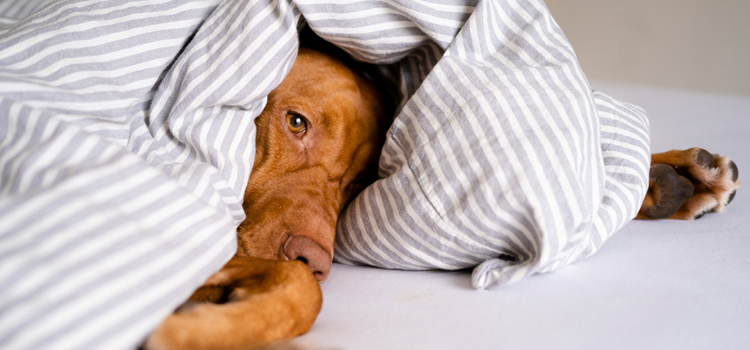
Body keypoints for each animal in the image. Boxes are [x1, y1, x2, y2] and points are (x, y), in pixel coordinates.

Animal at [145, 43, 740, 350]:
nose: (315, 258)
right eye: (295, 122)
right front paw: (191, 327)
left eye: (360, 183)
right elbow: (301, 290)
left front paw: (668, 174)